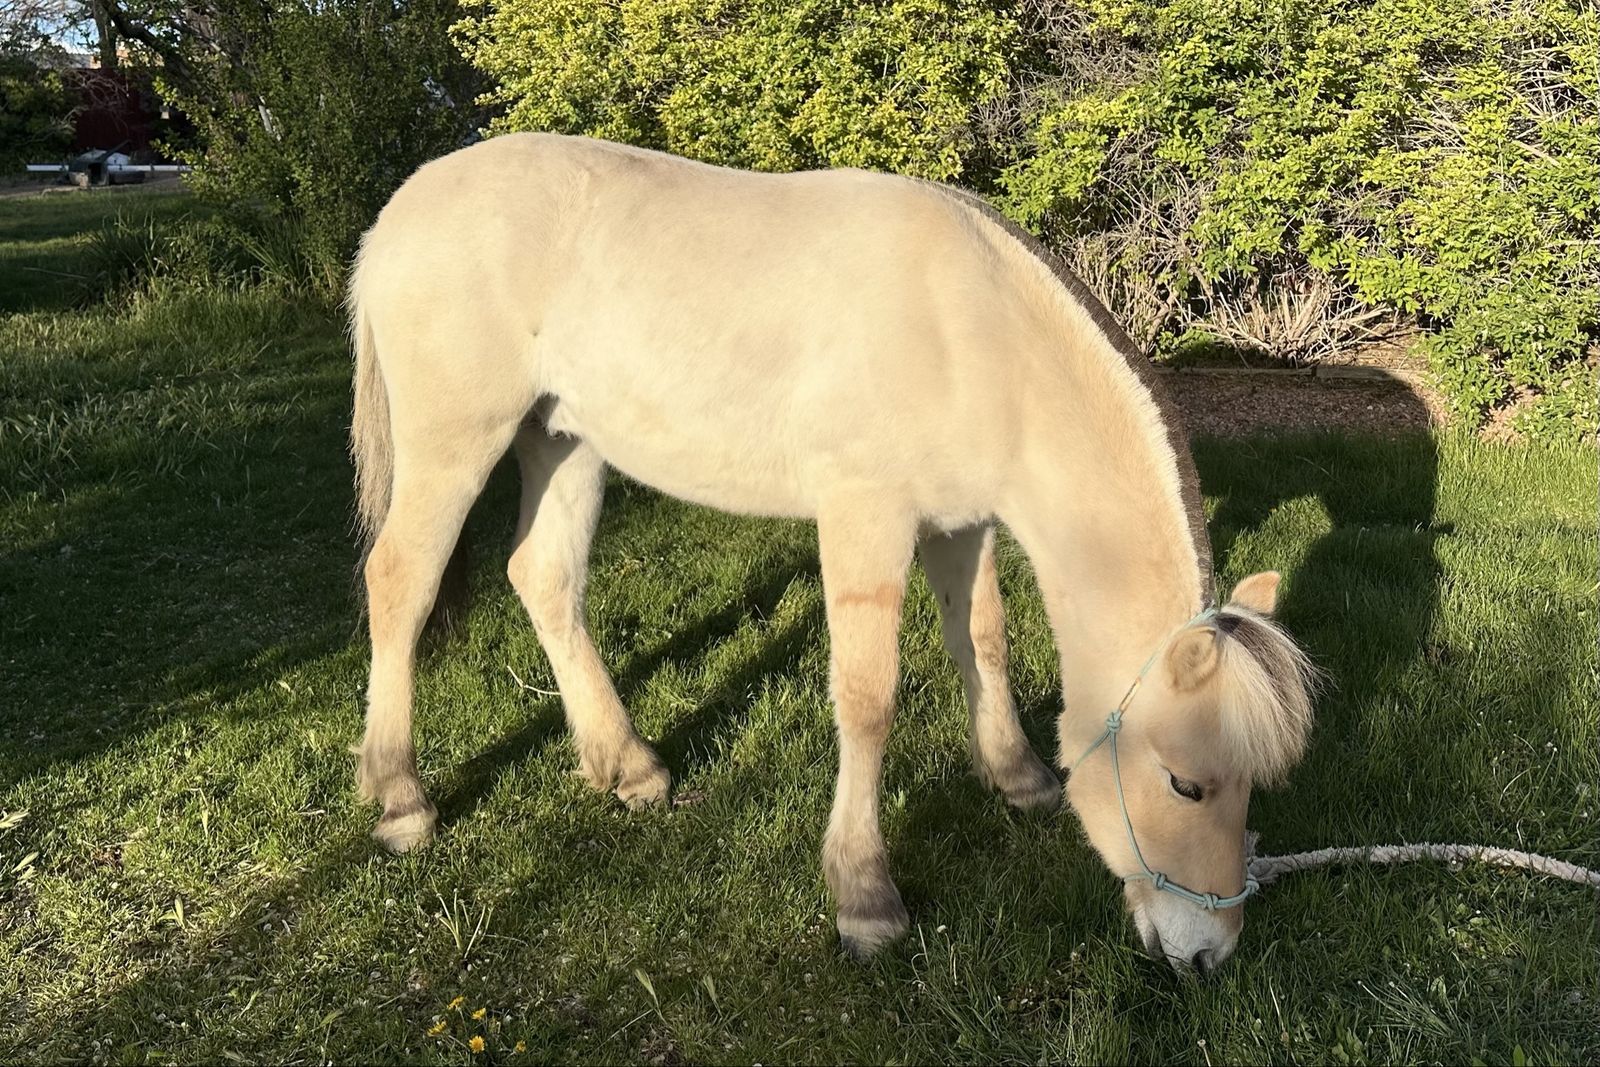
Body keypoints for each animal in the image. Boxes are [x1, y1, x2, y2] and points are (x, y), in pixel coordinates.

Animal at [346, 133, 1316, 973]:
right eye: (1185, 783)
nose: (1209, 953)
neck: (971, 330)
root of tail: (396, 215)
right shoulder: (865, 517)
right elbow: (868, 698)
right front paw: (865, 896)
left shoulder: (961, 524)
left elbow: (984, 642)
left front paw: (1019, 778)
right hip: (454, 444)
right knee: (398, 581)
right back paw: (401, 798)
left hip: (564, 441)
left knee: (542, 578)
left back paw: (628, 767)